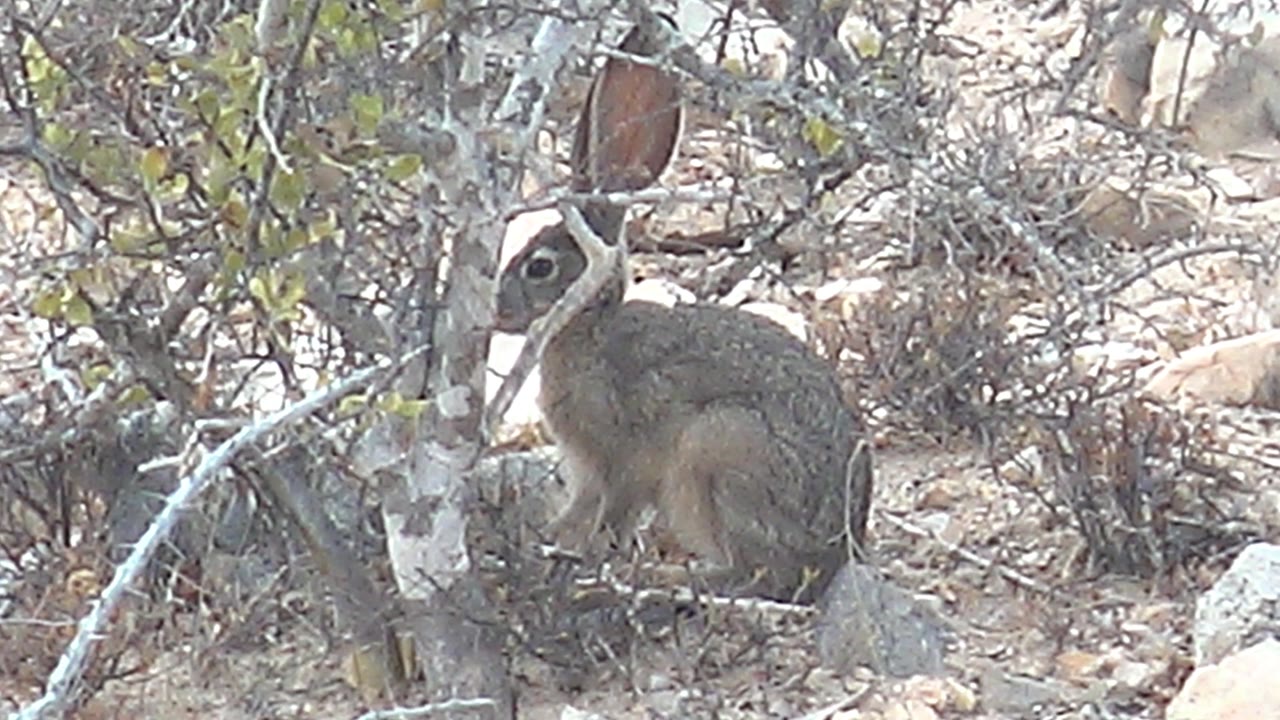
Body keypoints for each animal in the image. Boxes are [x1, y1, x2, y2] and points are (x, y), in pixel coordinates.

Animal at [495, 18, 872, 602]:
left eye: (539, 266)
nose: (498, 311)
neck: (590, 328)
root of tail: (831, 560)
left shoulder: (621, 460)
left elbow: (613, 515)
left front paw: (583, 561)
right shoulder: (588, 472)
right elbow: (579, 512)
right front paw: (547, 543)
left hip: (719, 450)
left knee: (758, 576)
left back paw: (669, 579)